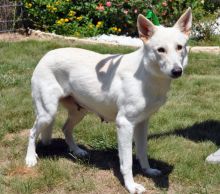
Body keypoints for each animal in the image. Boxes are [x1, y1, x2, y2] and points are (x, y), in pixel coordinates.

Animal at [25, 8, 191, 193]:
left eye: (179, 47)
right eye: (160, 50)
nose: (177, 71)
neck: (147, 75)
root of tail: (46, 55)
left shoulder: (142, 123)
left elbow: (142, 151)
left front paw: (147, 170)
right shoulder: (124, 124)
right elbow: (127, 162)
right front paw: (131, 186)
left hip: (79, 112)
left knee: (65, 128)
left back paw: (76, 151)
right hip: (47, 113)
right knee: (32, 132)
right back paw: (31, 159)